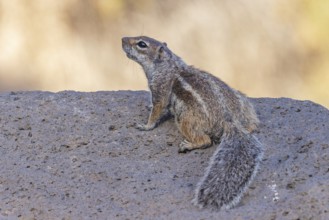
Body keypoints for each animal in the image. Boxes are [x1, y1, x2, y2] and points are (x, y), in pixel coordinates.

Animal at [121, 35, 262, 210]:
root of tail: (229, 121)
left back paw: (188, 145)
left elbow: (157, 109)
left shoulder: (160, 89)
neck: (167, 64)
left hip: (185, 119)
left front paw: (145, 125)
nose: (122, 39)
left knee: (205, 140)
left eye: (142, 44)